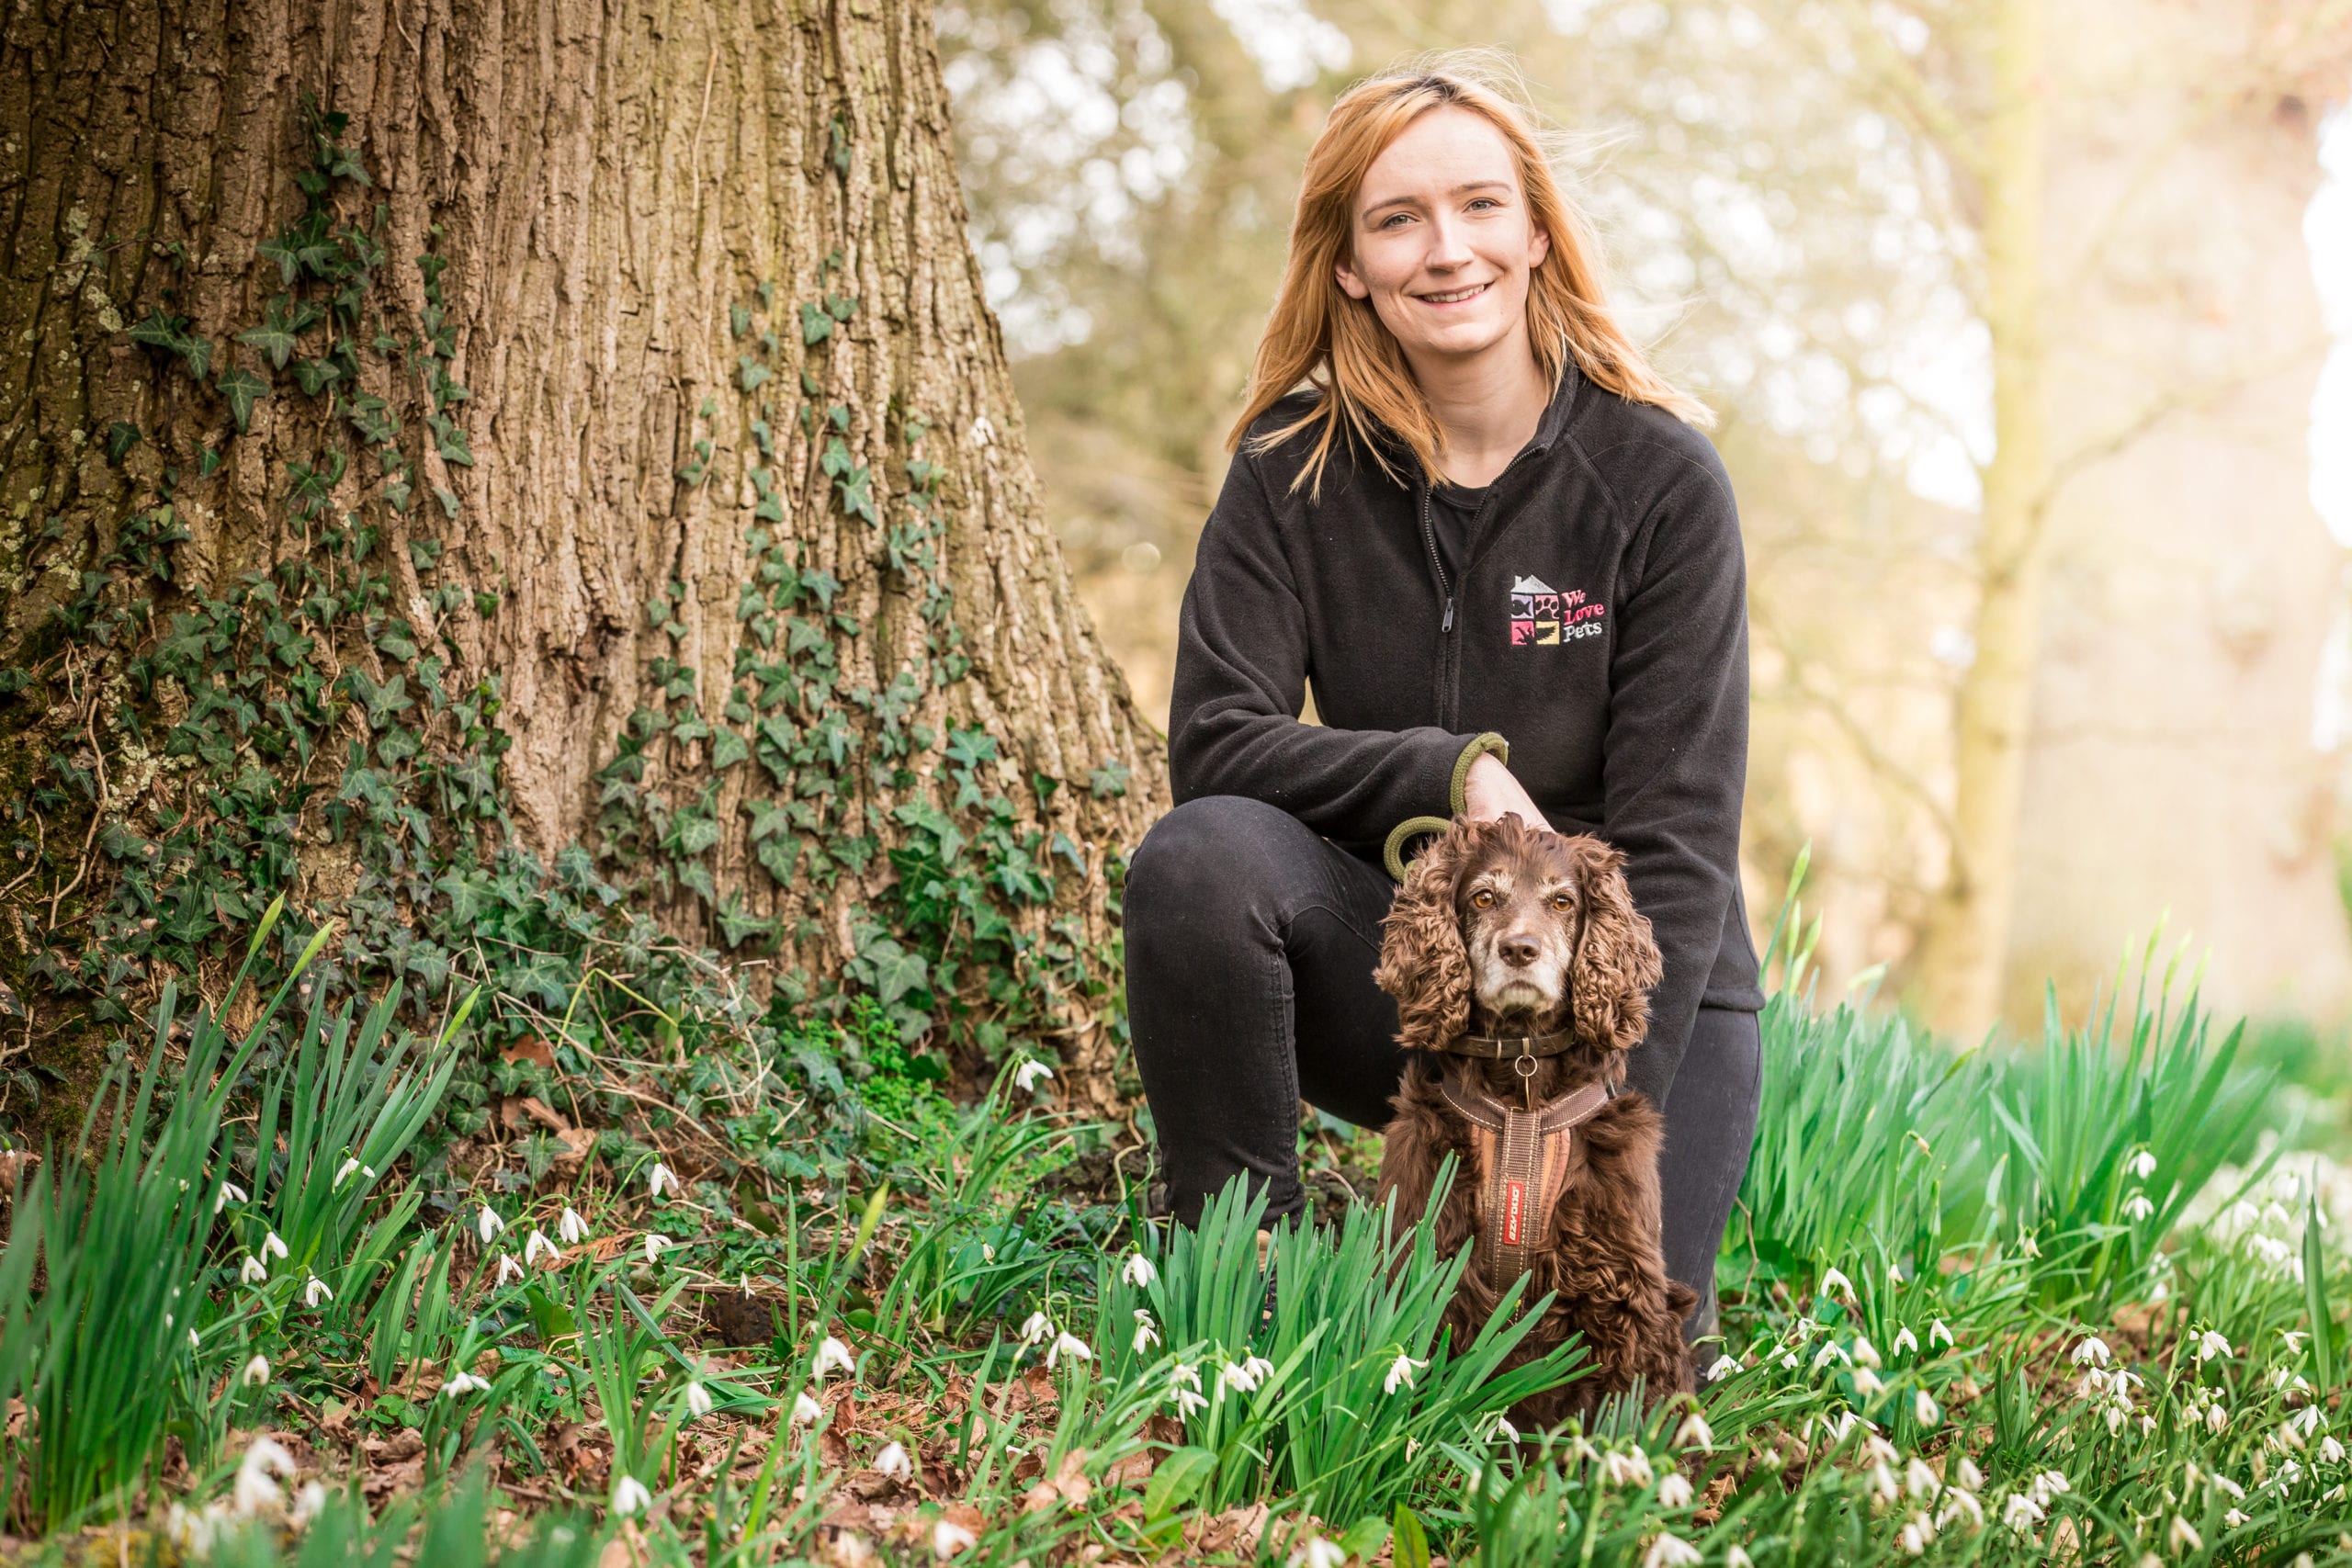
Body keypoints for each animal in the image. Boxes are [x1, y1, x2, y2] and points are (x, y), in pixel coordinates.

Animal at [1374, 818, 1693, 1429]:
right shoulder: (1424, 1260)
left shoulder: (1627, 1293)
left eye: (1563, 901)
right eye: (1483, 897)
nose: (1520, 949)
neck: (1521, 1097)